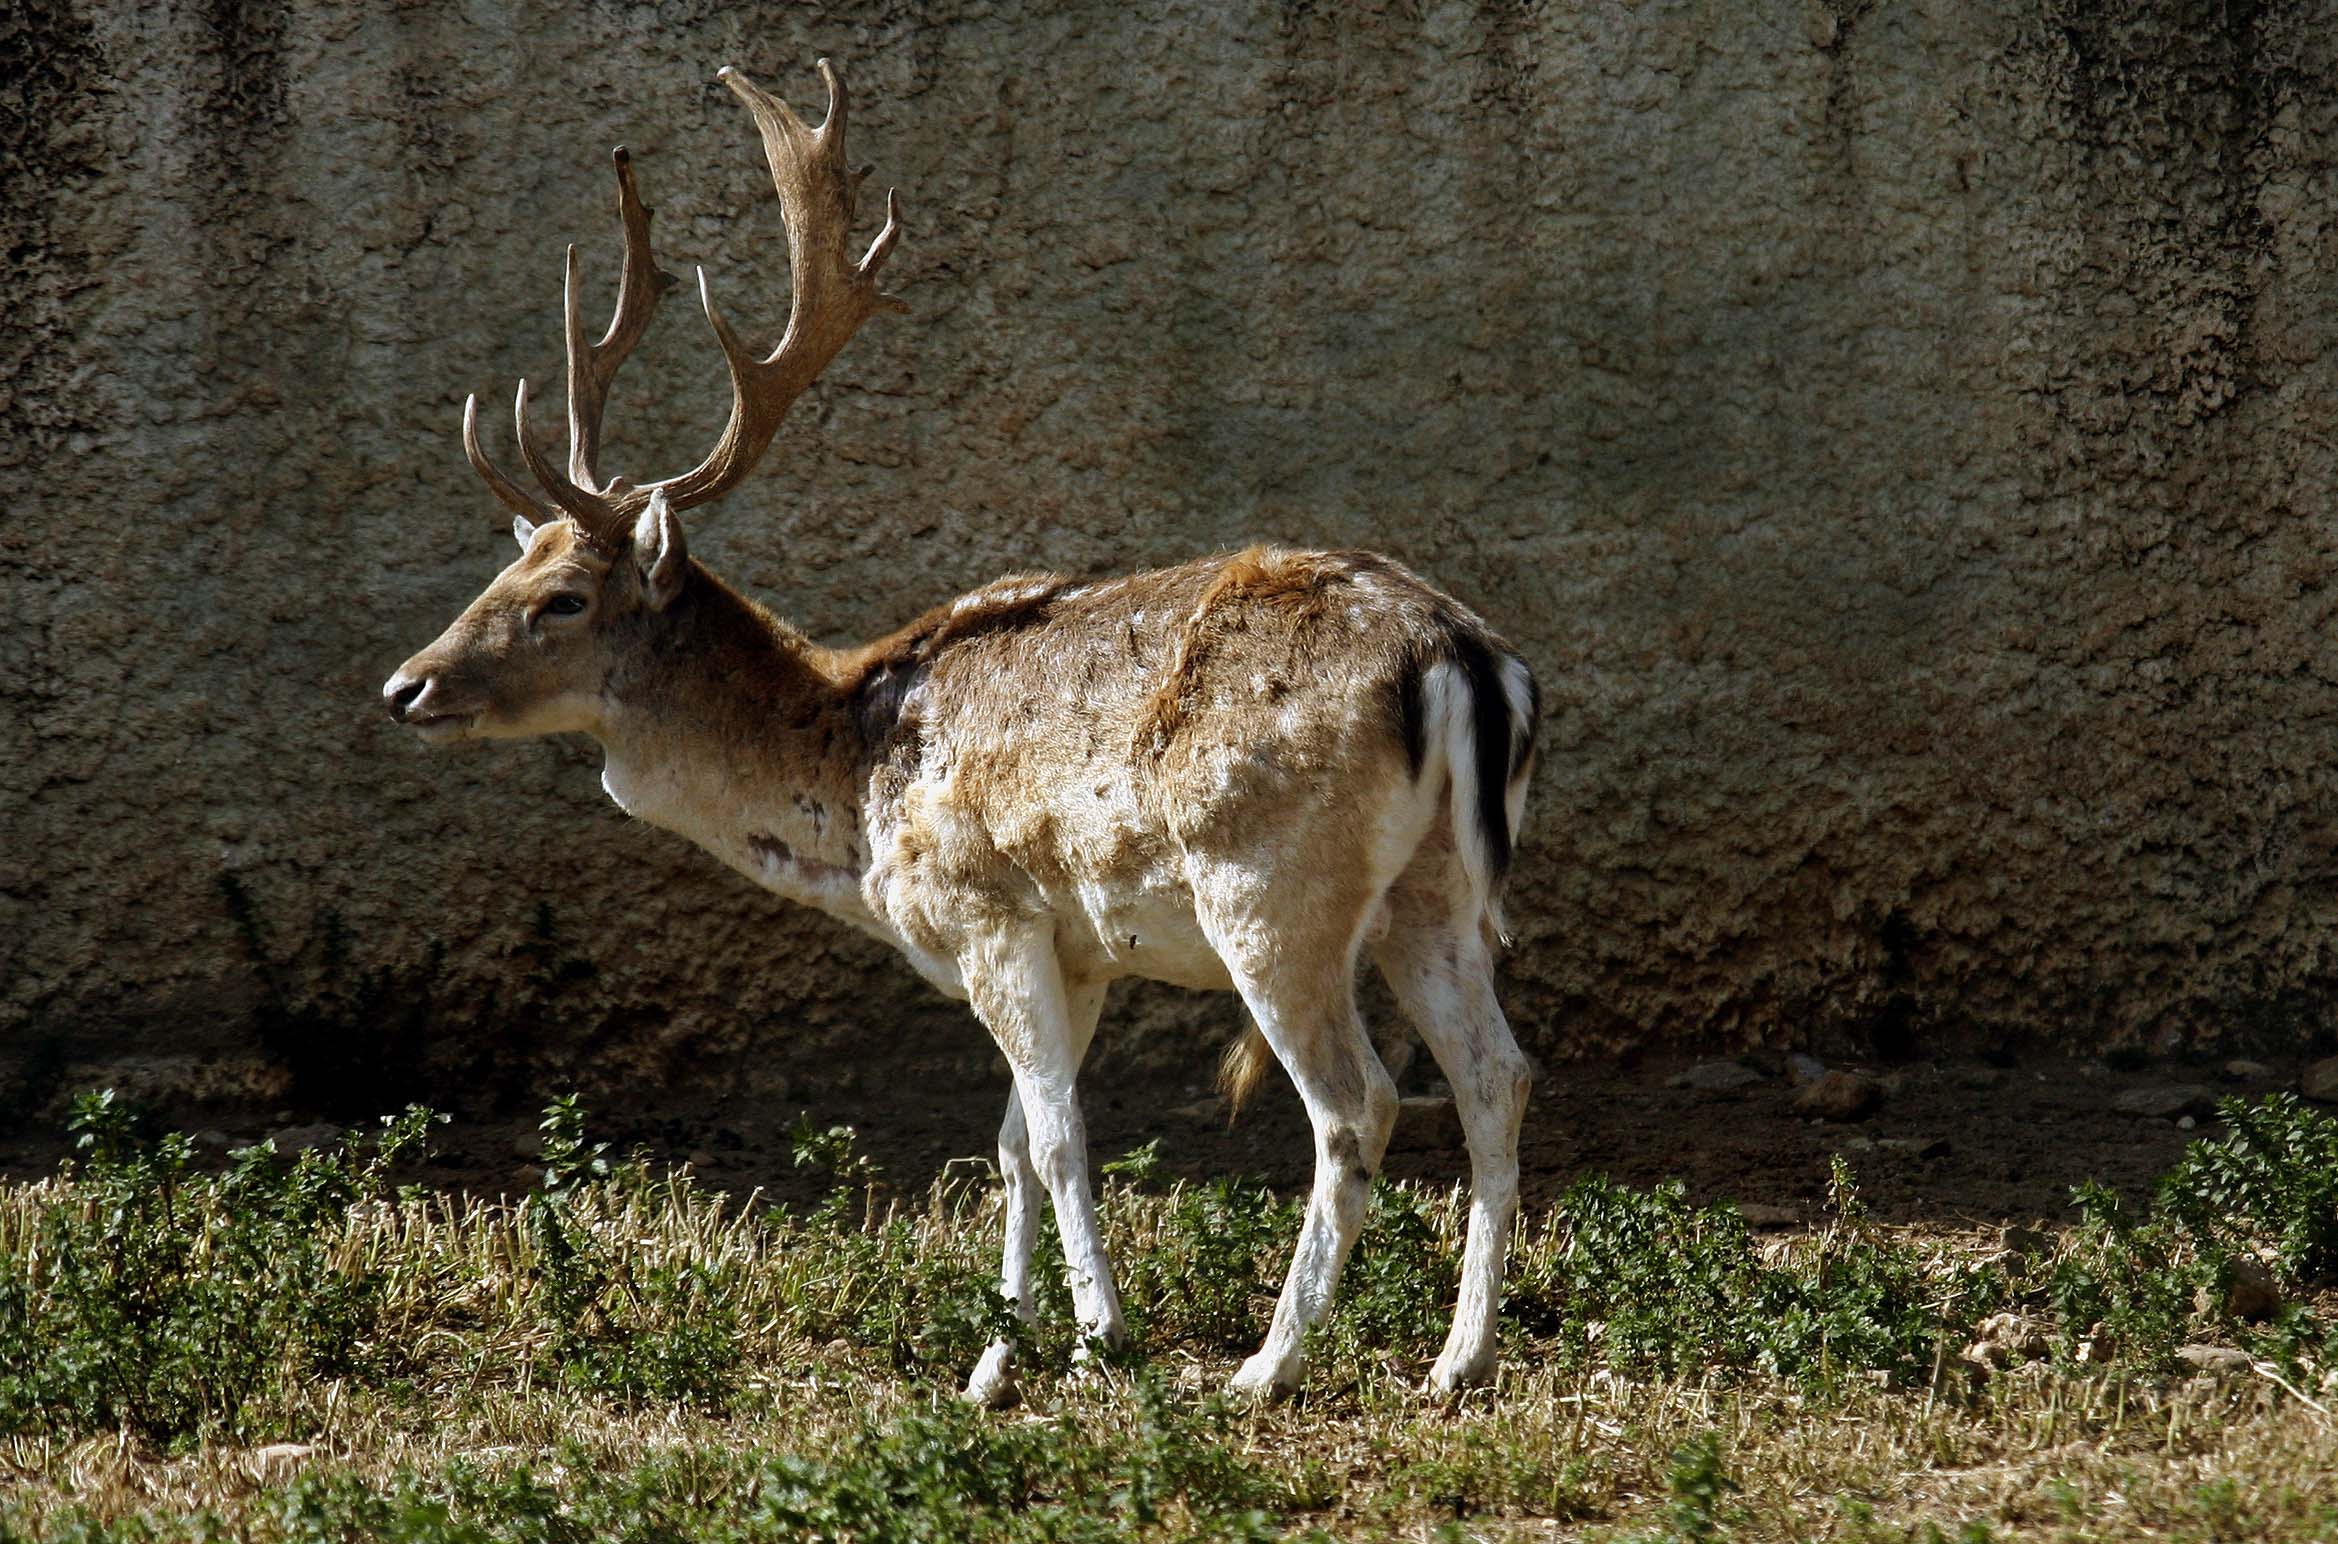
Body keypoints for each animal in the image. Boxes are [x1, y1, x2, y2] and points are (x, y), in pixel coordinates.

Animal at [381, 66, 1543, 1403]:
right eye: (502, 567)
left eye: (562, 597)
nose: (405, 685)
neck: (852, 793)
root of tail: (1463, 659)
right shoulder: (1076, 949)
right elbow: (1008, 1144)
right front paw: (992, 1363)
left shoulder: (986, 909)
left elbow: (1058, 1133)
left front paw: (1097, 1340)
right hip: (1431, 887)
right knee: (1496, 1073)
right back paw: (1457, 1359)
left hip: (1269, 879)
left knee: (1360, 1100)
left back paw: (1266, 1362)